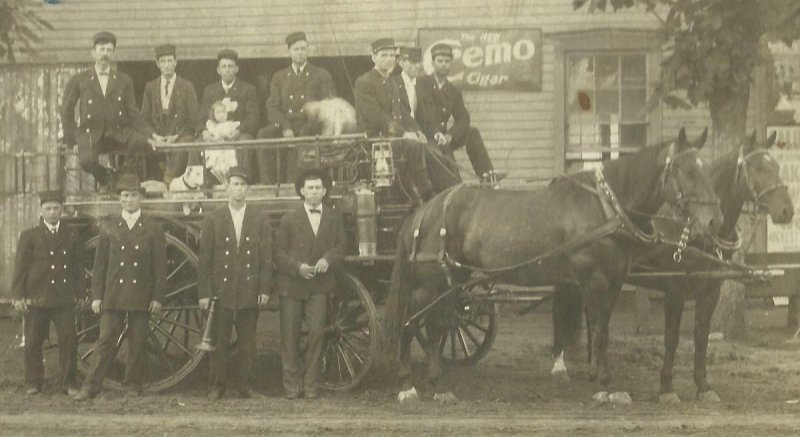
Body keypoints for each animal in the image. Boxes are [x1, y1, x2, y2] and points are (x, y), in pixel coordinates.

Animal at [382, 127, 724, 402]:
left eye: (708, 170)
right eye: (685, 170)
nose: (713, 221)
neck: (605, 207)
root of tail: (424, 209)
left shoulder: (612, 283)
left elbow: (602, 329)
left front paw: (603, 380)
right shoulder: (595, 281)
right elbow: (600, 331)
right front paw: (604, 386)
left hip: (452, 277)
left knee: (435, 325)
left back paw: (438, 384)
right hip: (430, 282)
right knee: (410, 321)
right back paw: (406, 384)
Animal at [552, 132, 792, 402]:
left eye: (777, 166)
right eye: (758, 167)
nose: (787, 210)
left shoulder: (710, 290)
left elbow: (701, 336)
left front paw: (703, 386)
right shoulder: (675, 289)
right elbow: (672, 338)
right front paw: (666, 387)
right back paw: (561, 366)